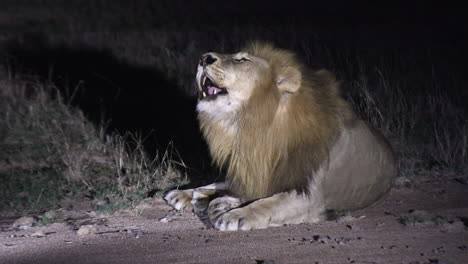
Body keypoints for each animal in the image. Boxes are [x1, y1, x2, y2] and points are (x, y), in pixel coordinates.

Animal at [165, 41, 394, 231]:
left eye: (242, 60)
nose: (203, 58)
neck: (252, 124)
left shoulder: (310, 195)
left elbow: (270, 203)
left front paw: (235, 215)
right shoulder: (255, 167)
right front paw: (208, 198)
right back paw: (187, 194)